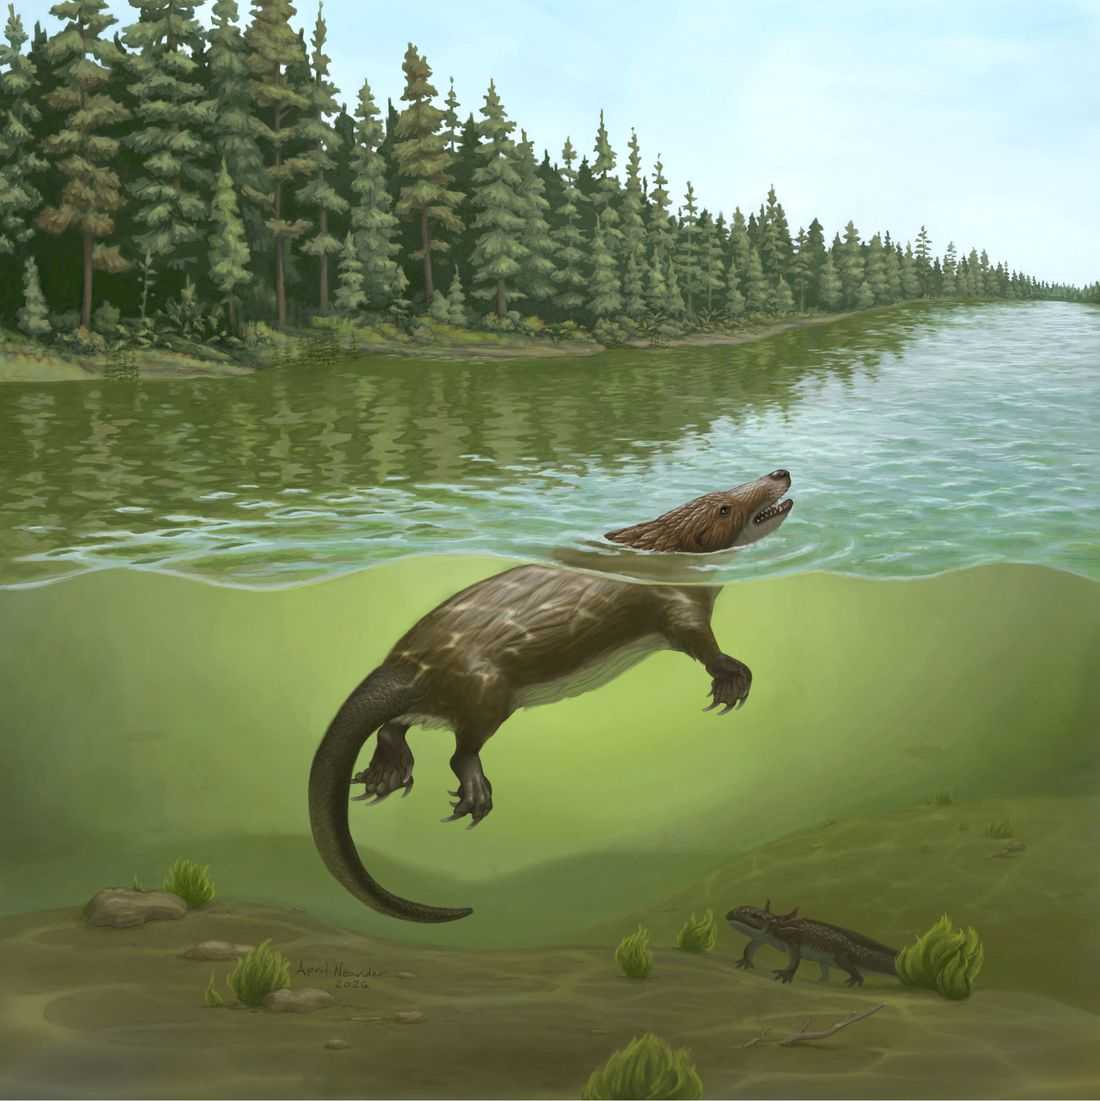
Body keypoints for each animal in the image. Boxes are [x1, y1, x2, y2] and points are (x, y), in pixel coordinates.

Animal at [309, 469, 794, 924]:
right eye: (725, 507)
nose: (780, 473)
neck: (659, 551)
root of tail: (406, 666)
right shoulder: (675, 603)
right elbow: (702, 644)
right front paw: (732, 680)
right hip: (487, 692)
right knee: (460, 749)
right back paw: (474, 792)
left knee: (396, 725)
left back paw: (384, 774)